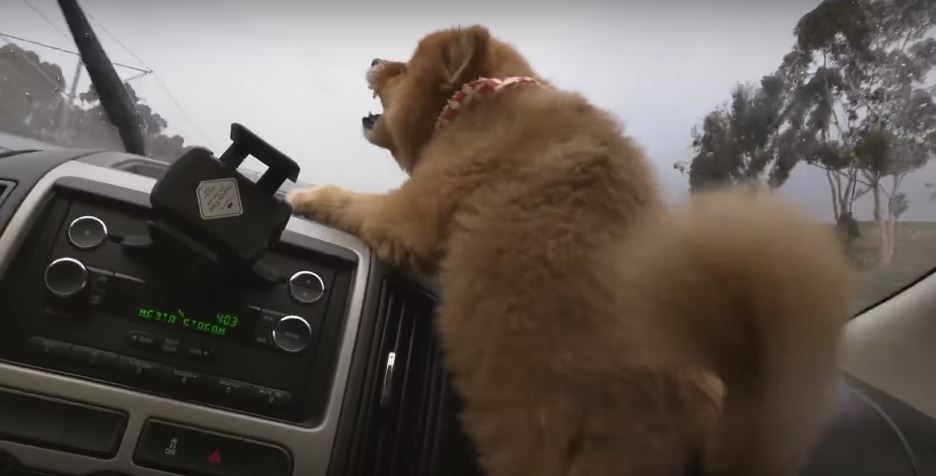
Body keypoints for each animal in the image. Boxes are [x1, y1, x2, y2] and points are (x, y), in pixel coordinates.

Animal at [288, 25, 852, 476]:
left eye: (403, 69)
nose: (375, 57)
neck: (480, 100)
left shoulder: (409, 216)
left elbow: (351, 202)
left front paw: (305, 196)